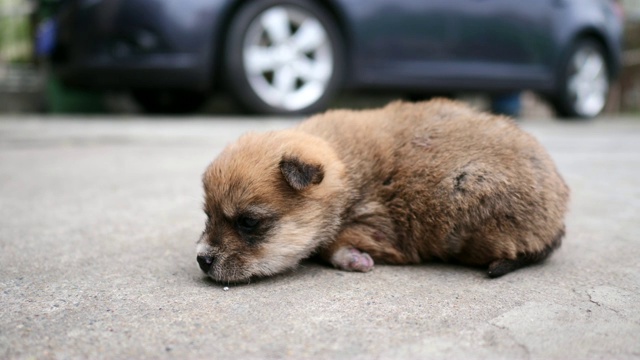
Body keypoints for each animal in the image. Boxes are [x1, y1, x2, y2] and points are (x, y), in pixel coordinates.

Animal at [196, 100, 568, 282]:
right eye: (207, 216)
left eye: (248, 222)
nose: (202, 259)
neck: (346, 170)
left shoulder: (380, 227)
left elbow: (331, 243)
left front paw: (351, 258)